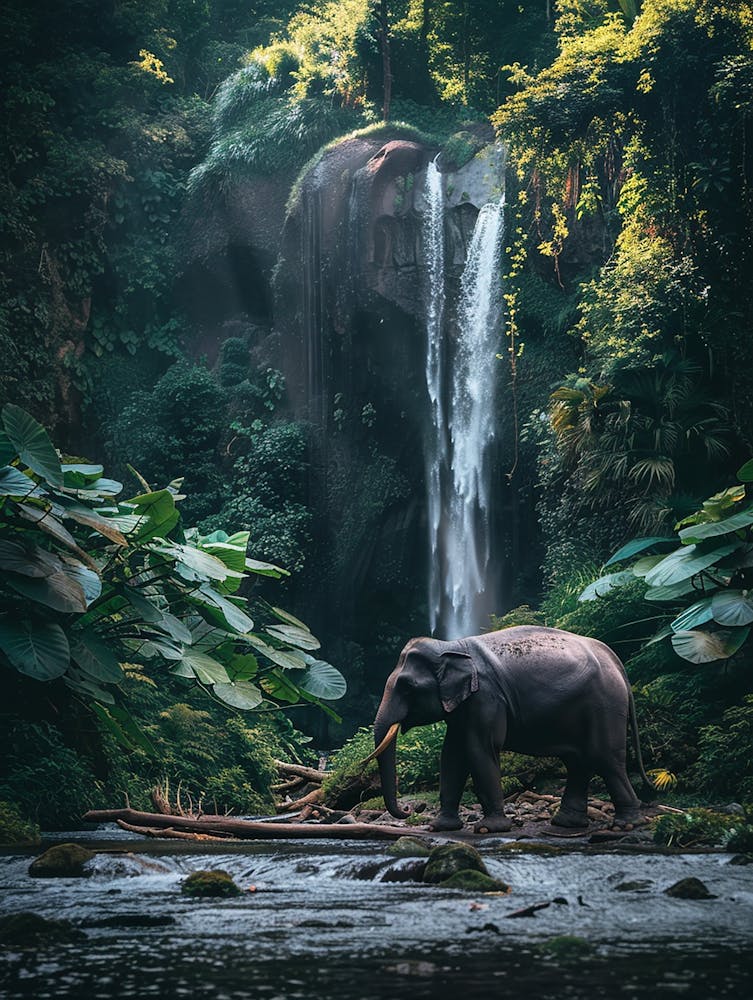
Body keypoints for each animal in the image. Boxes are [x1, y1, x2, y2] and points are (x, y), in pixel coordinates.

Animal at [372, 625, 654, 833]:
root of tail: (616, 661)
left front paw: (488, 829)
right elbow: (452, 754)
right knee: (579, 761)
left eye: (407, 687)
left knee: (604, 757)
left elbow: (479, 749)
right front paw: (439, 827)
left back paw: (626, 824)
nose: (409, 810)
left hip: (605, 704)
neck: (451, 646)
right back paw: (566, 823)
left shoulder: (486, 698)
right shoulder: (464, 706)